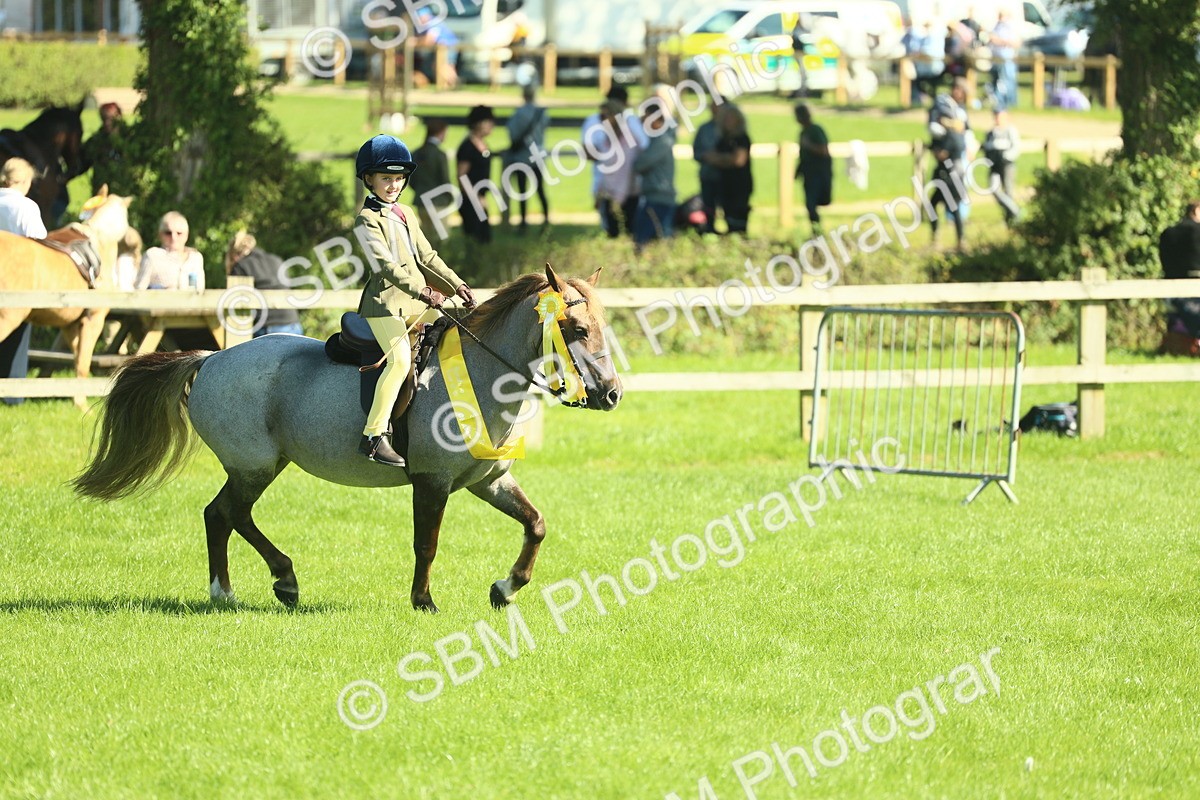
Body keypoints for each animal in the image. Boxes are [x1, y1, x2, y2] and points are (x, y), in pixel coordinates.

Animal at [72, 265, 622, 612]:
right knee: (226, 514)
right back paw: (264, 584)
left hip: (260, 466)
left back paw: (247, 587)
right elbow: (427, 544)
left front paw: (505, 589)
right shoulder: (433, 482)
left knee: (223, 515)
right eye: (574, 328)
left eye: (600, 325)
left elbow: (536, 525)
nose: (612, 394)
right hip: (254, 466)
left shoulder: (487, 481)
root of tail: (210, 359)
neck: (479, 372)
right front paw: (424, 601)